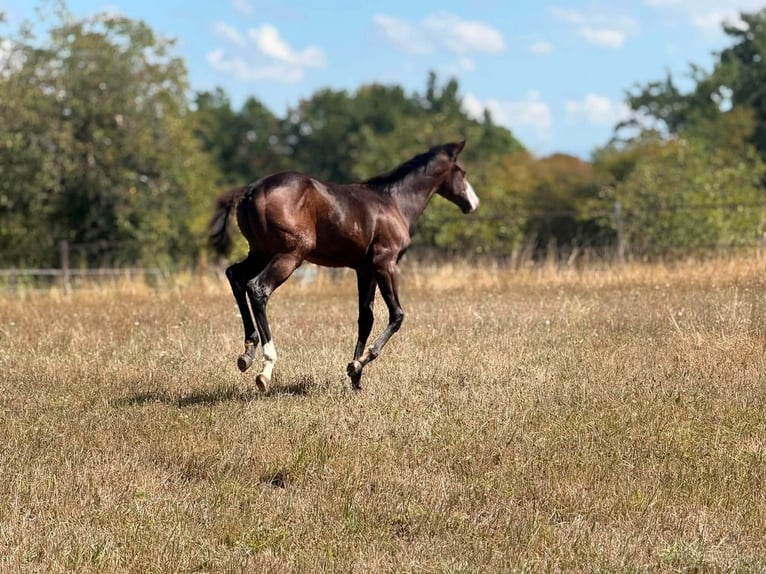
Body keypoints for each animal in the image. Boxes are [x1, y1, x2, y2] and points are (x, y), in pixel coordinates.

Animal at [208, 140, 479, 392]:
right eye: (463, 172)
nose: (472, 204)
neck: (393, 202)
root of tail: (251, 190)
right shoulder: (386, 264)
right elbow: (397, 315)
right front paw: (360, 362)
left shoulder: (365, 269)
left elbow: (365, 317)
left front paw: (355, 375)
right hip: (289, 254)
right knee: (257, 288)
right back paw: (266, 367)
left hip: (260, 252)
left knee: (235, 276)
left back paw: (247, 352)